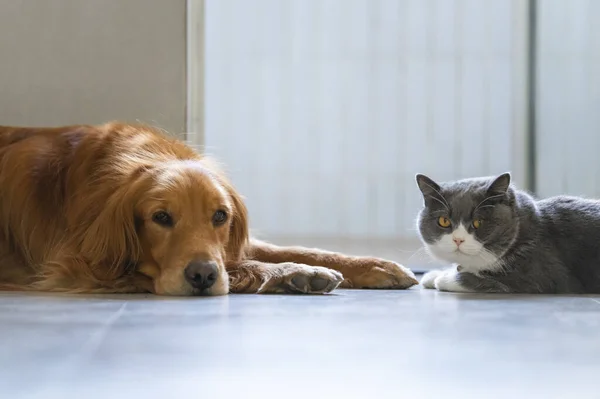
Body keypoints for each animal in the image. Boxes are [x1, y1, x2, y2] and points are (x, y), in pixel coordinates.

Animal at [0, 123, 418, 296]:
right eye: (161, 218)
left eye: (220, 216)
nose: (202, 275)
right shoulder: (76, 268)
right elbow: (245, 264)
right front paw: (294, 274)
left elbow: (286, 248)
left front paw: (372, 266)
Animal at [414, 172, 600, 294]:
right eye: (444, 221)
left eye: (478, 222)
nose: (458, 240)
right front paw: (435, 274)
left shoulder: (543, 276)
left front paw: (443, 278)